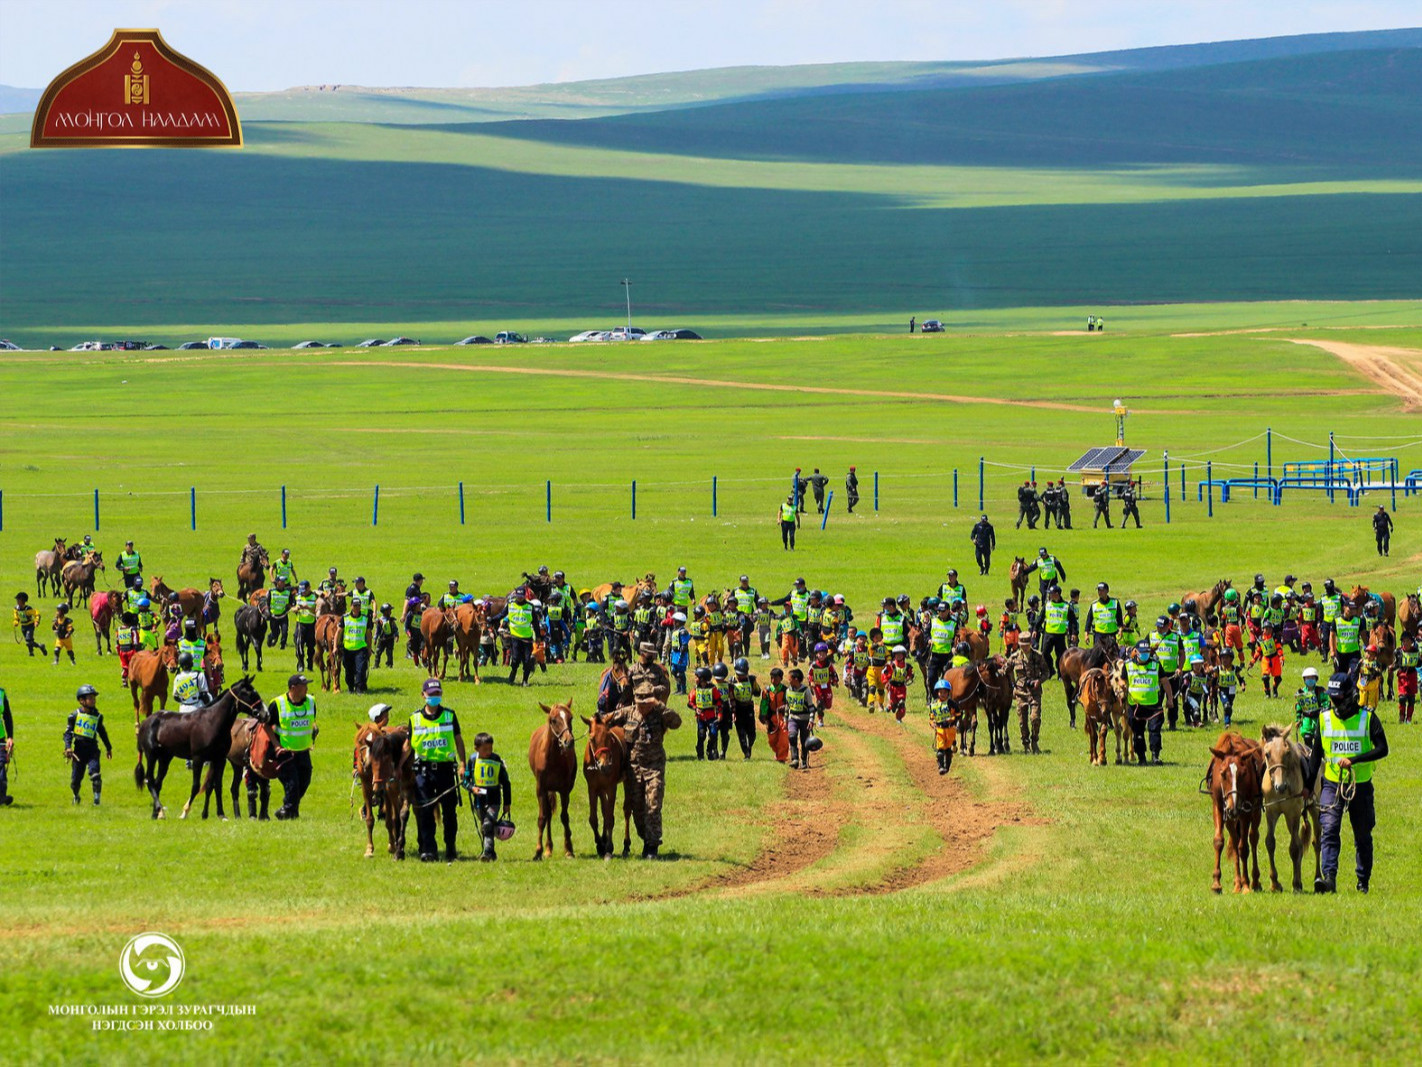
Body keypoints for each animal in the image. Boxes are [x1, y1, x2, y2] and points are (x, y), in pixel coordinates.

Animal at [135, 680, 267, 825]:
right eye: (250, 694)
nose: (265, 714)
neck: (212, 722)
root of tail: (145, 723)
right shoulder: (198, 759)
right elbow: (196, 786)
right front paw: (184, 812)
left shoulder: (219, 759)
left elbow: (217, 786)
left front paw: (221, 814)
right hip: (151, 755)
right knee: (150, 780)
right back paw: (161, 811)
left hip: (165, 758)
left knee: (157, 783)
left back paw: (156, 813)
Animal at [528, 702, 577, 859]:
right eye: (554, 720)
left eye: (571, 718)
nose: (569, 741)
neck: (554, 758)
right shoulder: (541, 789)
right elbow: (542, 818)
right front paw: (538, 850)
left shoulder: (565, 790)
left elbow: (564, 817)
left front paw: (569, 849)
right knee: (548, 814)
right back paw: (548, 848)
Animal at [580, 714, 631, 864]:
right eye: (592, 738)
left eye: (609, 737)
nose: (605, 765)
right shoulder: (592, 788)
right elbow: (594, 818)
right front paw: (599, 845)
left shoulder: (611, 787)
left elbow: (609, 818)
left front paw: (608, 848)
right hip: (600, 789)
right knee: (604, 808)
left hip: (626, 781)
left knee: (627, 810)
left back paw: (626, 845)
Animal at [1205, 734, 1262, 899]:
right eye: (1222, 774)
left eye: (1243, 774)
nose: (1233, 807)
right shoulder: (1218, 806)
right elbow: (1219, 841)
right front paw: (1216, 883)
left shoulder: (1246, 812)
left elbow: (1244, 848)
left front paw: (1246, 885)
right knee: (1235, 841)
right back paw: (1237, 883)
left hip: (1254, 813)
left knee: (1253, 838)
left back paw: (1254, 881)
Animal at [1262, 728, 1325, 893]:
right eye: (1267, 754)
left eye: (1287, 753)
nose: (1281, 786)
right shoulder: (1272, 812)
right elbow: (1270, 842)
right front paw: (1274, 883)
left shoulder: (1293, 813)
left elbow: (1295, 848)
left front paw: (1296, 883)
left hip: (1314, 809)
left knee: (1317, 842)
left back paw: (1318, 878)